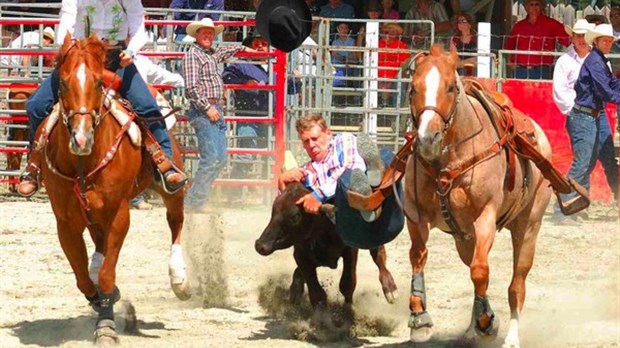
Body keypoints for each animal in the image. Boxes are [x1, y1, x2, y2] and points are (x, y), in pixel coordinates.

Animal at [33, 34, 189, 344]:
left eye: (96, 83)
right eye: (63, 83)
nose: (81, 138)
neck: (83, 162)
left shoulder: (119, 214)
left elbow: (107, 275)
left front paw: (106, 325)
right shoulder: (66, 223)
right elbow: (83, 278)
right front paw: (101, 300)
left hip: (172, 188)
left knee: (175, 221)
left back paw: (179, 278)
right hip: (93, 215)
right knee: (98, 246)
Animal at [406, 44, 552, 346]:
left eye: (450, 87)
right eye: (413, 88)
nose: (427, 139)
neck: (448, 159)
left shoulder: (485, 217)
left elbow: (480, 271)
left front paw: (488, 321)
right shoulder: (416, 215)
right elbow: (418, 256)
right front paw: (419, 316)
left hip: (528, 227)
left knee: (516, 286)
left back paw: (509, 336)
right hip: (464, 238)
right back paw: (473, 328)